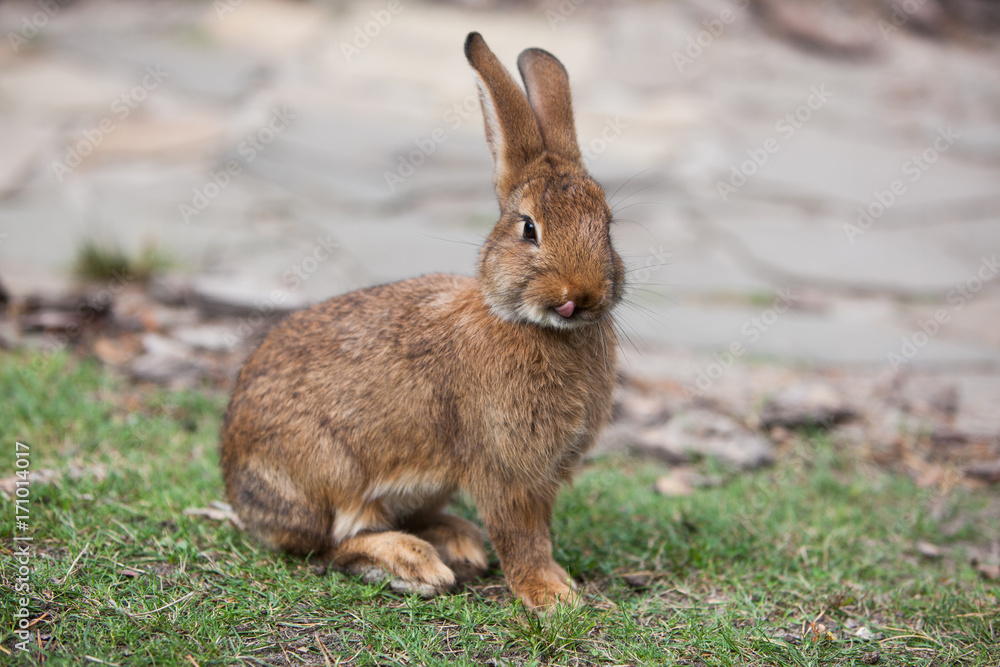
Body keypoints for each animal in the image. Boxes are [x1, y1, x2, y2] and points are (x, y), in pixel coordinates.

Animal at [220, 31, 625, 611]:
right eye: (529, 228)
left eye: (608, 228)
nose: (581, 296)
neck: (531, 326)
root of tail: (236, 488)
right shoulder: (504, 468)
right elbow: (522, 536)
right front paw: (549, 595)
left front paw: (558, 586)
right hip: (330, 474)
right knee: (333, 544)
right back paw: (415, 563)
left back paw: (457, 541)